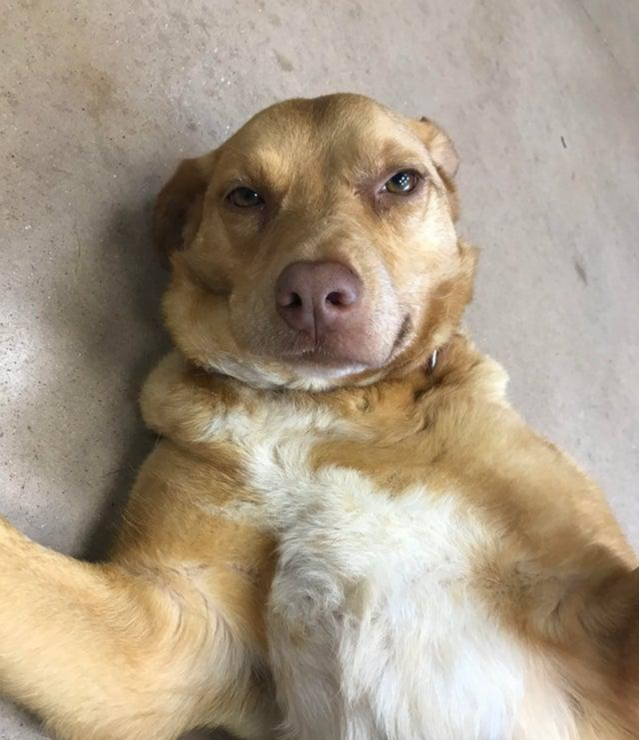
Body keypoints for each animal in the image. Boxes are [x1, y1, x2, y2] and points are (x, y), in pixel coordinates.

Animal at [0, 93, 637, 740]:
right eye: (245, 195)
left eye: (401, 181)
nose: (313, 294)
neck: (319, 406)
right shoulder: (173, 623)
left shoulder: (592, 594)